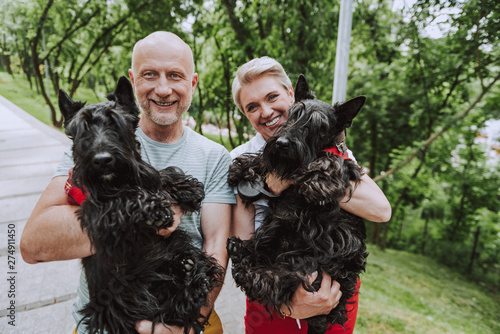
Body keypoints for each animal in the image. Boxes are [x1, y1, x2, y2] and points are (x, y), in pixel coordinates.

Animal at [57, 76, 224, 334]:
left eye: (115, 125)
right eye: (82, 132)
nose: (102, 160)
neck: (118, 179)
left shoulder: (142, 173)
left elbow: (159, 174)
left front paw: (188, 189)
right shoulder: (94, 209)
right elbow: (122, 198)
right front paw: (156, 209)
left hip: (176, 248)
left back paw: (189, 269)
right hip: (129, 295)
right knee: (178, 307)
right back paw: (189, 277)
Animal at [227, 75, 368, 334]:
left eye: (320, 127)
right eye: (293, 115)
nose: (283, 143)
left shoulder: (344, 164)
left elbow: (332, 161)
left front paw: (317, 182)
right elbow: (263, 157)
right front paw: (241, 168)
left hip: (306, 261)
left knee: (274, 282)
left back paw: (244, 265)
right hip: (280, 229)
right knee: (259, 254)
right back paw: (238, 248)